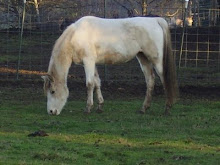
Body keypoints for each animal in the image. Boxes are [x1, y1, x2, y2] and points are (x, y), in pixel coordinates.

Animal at [41, 16, 179, 115]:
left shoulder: (88, 61)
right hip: (143, 58)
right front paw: (100, 106)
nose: (51, 112)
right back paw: (144, 108)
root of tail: (155, 20)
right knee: (150, 81)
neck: (76, 36)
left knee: (164, 80)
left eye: (53, 91)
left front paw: (88, 108)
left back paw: (167, 108)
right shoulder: (93, 63)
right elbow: (97, 83)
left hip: (156, 60)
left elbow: (89, 84)